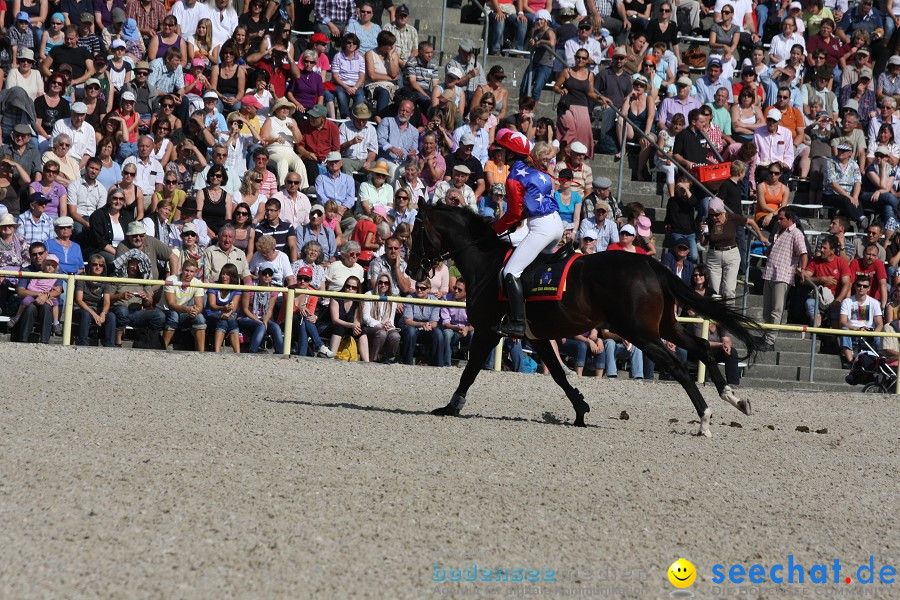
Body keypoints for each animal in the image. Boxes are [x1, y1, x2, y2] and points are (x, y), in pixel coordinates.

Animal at [408, 202, 760, 436]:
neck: (486, 262)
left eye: (417, 232)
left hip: (639, 332)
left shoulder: (486, 331)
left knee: (676, 365)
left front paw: (451, 407)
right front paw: (580, 410)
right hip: (663, 326)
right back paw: (733, 399)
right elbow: (559, 375)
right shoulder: (537, 337)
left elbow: (468, 372)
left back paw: (705, 418)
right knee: (699, 346)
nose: (413, 271)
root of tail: (650, 264)